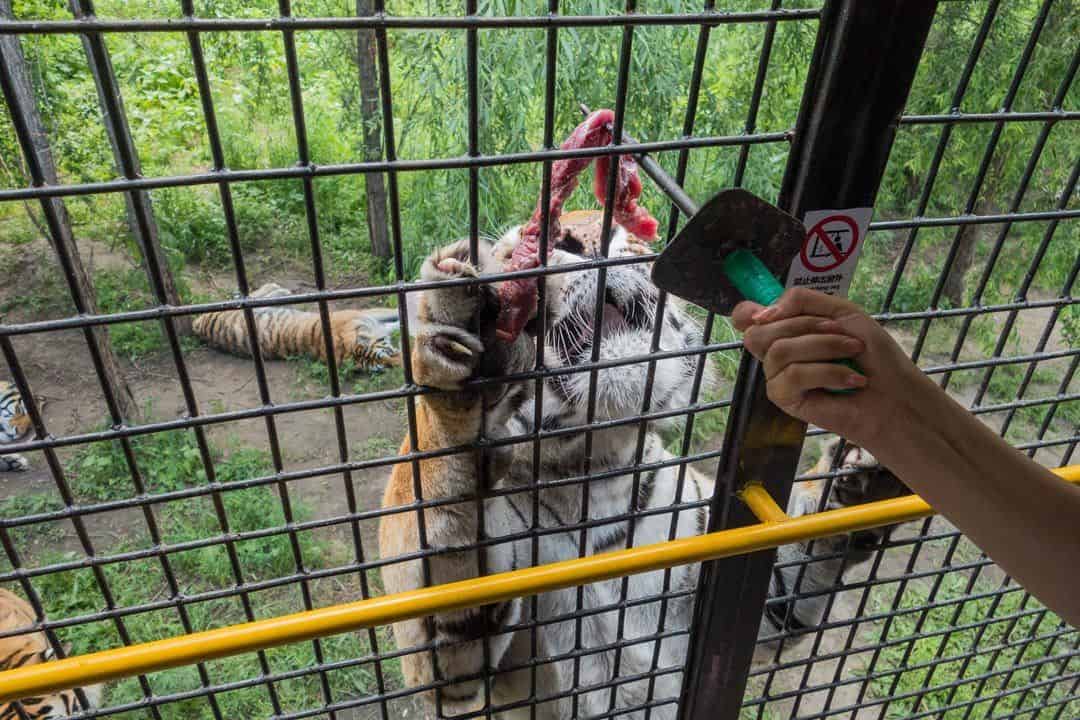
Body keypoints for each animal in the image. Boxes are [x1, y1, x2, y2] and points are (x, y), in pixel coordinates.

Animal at [192, 280, 403, 371]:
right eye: (380, 363)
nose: (400, 365)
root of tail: (197, 326)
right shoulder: (369, 315)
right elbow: (397, 319)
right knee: (260, 292)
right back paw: (276, 287)